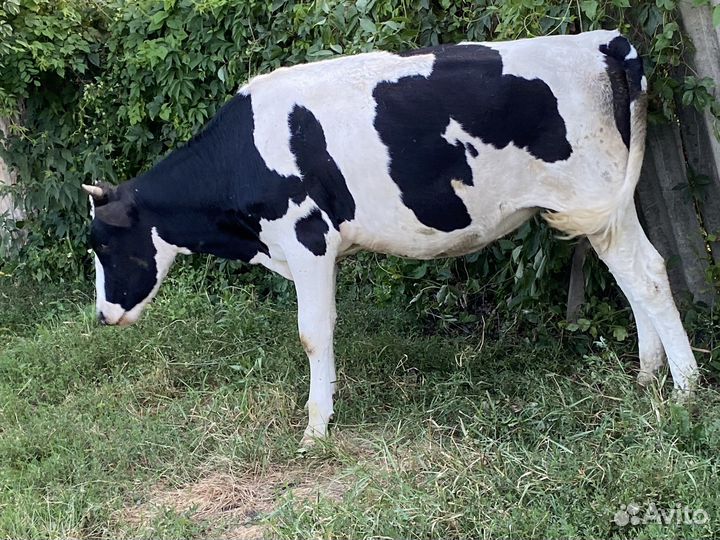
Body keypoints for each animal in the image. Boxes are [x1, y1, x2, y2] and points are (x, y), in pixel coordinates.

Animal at [83, 30, 698, 445]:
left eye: (103, 245)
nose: (103, 316)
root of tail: (602, 42)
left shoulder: (306, 237)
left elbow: (312, 333)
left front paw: (315, 428)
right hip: (602, 206)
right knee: (631, 277)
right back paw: (647, 376)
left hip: (592, 192)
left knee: (647, 274)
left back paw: (685, 391)